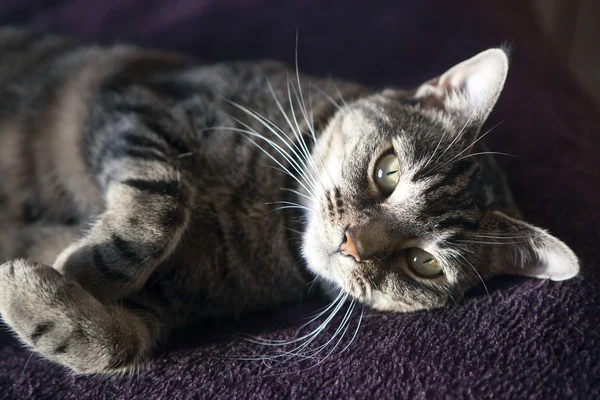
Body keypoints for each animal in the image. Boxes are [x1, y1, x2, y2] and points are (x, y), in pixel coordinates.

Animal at [0, 28, 580, 376]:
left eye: (423, 263)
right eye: (388, 172)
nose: (352, 244)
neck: (266, 222)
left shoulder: (171, 305)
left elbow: (111, 344)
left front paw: (34, 282)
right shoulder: (139, 102)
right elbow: (162, 203)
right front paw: (79, 264)